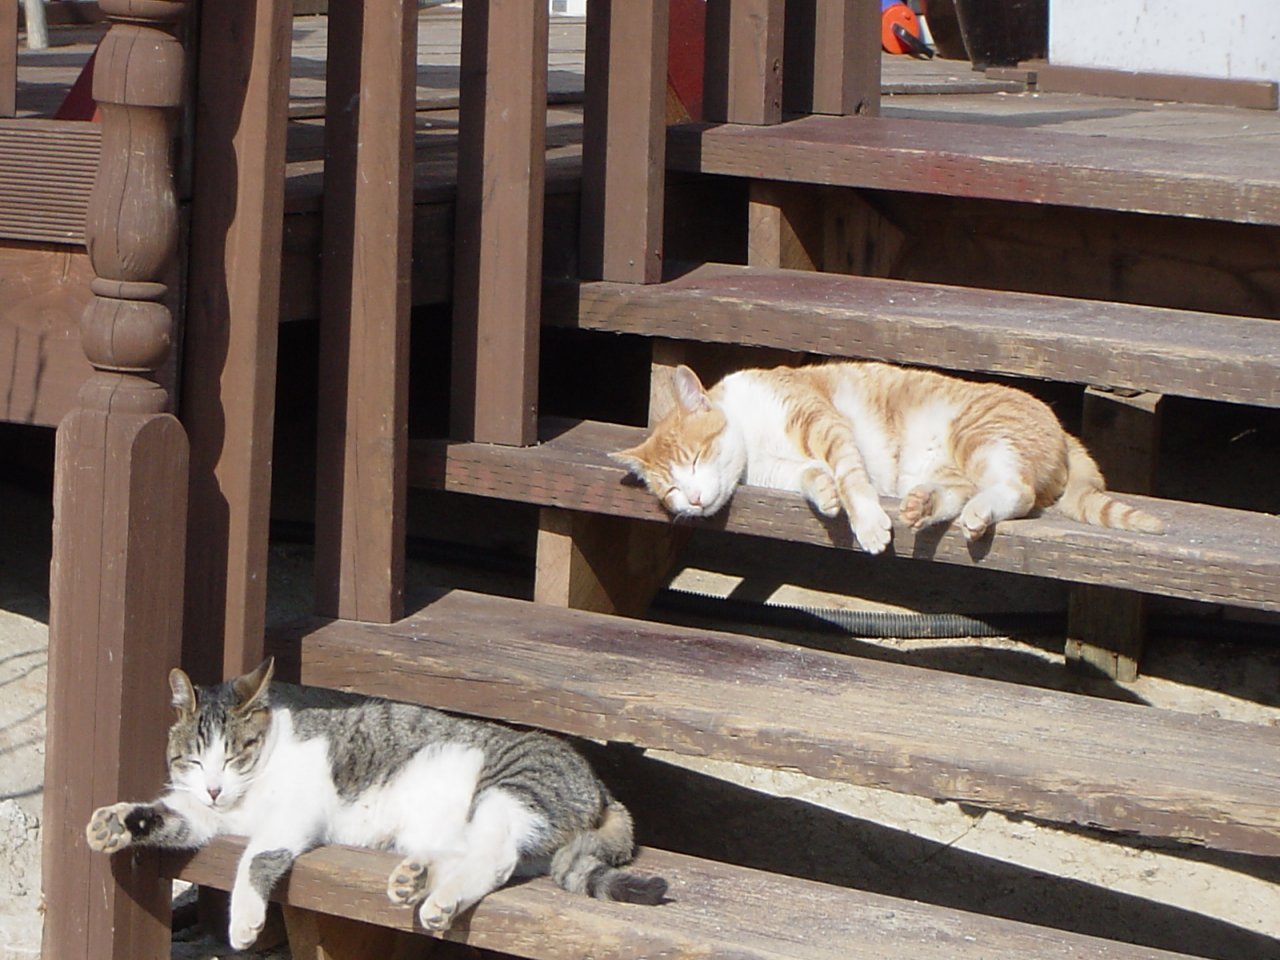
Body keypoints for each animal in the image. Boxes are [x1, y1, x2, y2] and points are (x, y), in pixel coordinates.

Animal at [85, 658, 666, 949]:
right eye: (194, 759)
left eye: (234, 754)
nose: (213, 787)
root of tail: (602, 789)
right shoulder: (204, 816)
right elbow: (167, 815)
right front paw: (114, 822)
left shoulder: (295, 812)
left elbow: (257, 857)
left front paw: (246, 920)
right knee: (481, 856)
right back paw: (415, 878)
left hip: (510, 789)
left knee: (496, 859)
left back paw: (438, 902)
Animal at [611, 361, 1164, 554]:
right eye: (670, 490)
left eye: (695, 457)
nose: (695, 501)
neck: (751, 428)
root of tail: (1063, 431)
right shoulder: (777, 469)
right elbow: (813, 475)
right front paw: (825, 495)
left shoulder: (821, 422)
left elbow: (850, 475)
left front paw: (868, 524)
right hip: (945, 467)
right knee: (961, 493)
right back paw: (925, 506)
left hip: (980, 437)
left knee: (1017, 492)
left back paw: (974, 512)